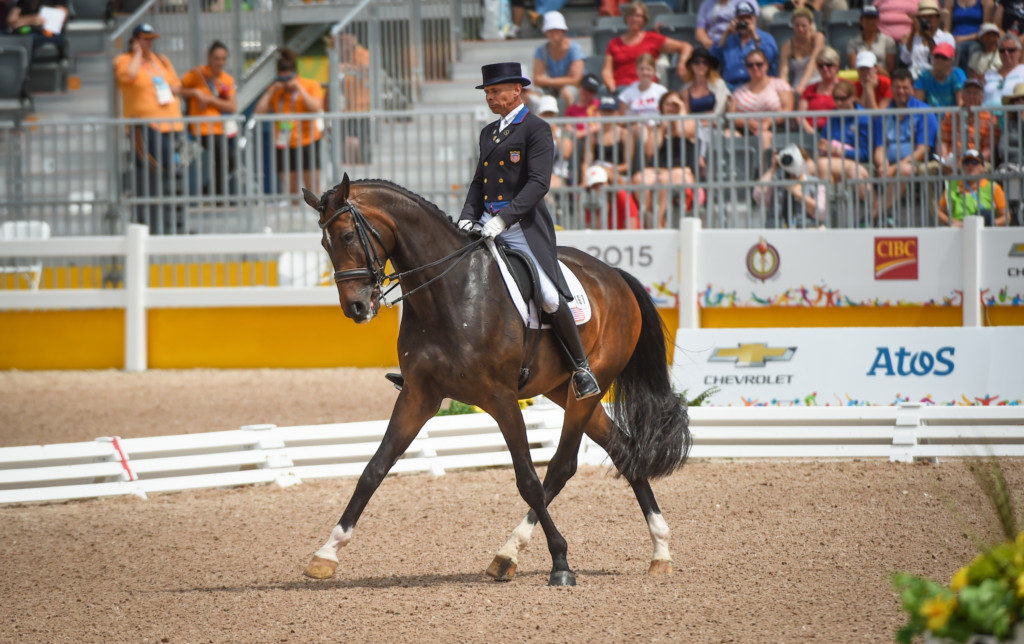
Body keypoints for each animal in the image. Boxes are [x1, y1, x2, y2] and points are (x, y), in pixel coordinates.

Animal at [299, 173, 692, 585]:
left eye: (347, 236)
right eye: (324, 244)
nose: (356, 308)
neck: (449, 292)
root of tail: (615, 276)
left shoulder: (501, 399)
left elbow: (528, 479)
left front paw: (561, 563)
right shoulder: (418, 395)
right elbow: (373, 470)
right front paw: (326, 552)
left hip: (587, 385)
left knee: (562, 466)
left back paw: (519, 553)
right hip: (562, 389)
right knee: (622, 449)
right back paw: (657, 550)